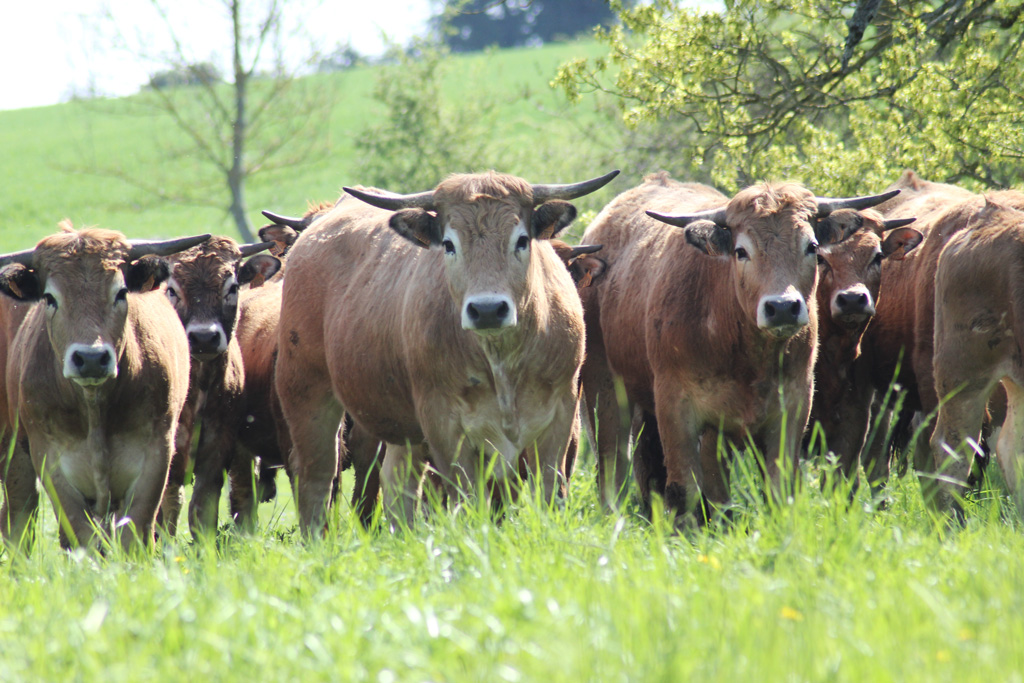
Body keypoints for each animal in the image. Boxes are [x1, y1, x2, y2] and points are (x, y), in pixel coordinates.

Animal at [0, 224, 207, 548]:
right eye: (49, 297)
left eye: (120, 292)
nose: (91, 358)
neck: (93, 405)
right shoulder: (50, 462)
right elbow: (81, 536)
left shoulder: (155, 458)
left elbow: (134, 535)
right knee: (19, 516)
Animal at [270, 167, 614, 532]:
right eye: (449, 244)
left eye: (521, 240)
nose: (488, 309)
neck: (501, 360)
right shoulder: (444, 425)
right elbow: (470, 501)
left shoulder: (560, 417)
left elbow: (547, 494)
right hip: (307, 393)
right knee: (316, 478)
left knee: (398, 484)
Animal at [581, 172, 901, 524]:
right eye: (741, 251)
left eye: (812, 247)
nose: (783, 307)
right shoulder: (676, 409)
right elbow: (685, 491)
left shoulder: (792, 410)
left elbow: (777, 489)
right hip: (605, 393)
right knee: (613, 466)